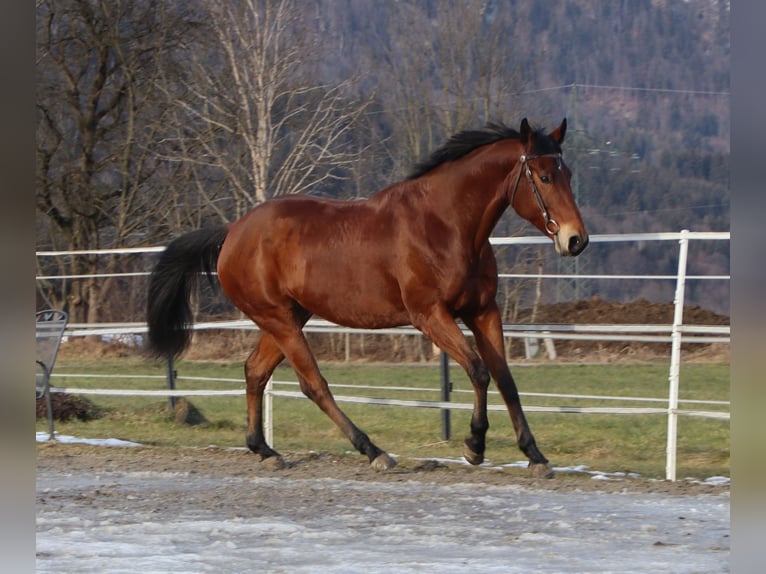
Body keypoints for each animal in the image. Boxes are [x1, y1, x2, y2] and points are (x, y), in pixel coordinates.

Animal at [147, 117, 592, 476]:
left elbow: (505, 379)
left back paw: (265, 450)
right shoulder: (429, 315)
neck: (446, 225)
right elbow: (479, 371)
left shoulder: (483, 311)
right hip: (278, 319)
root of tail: (232, 233)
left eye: (569, 173)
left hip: (288, 317)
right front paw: (474, 447)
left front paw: (535, 456)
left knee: (255, 371)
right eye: (545, 177)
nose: (576, 240)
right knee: (313, 384)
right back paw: (374, 451)